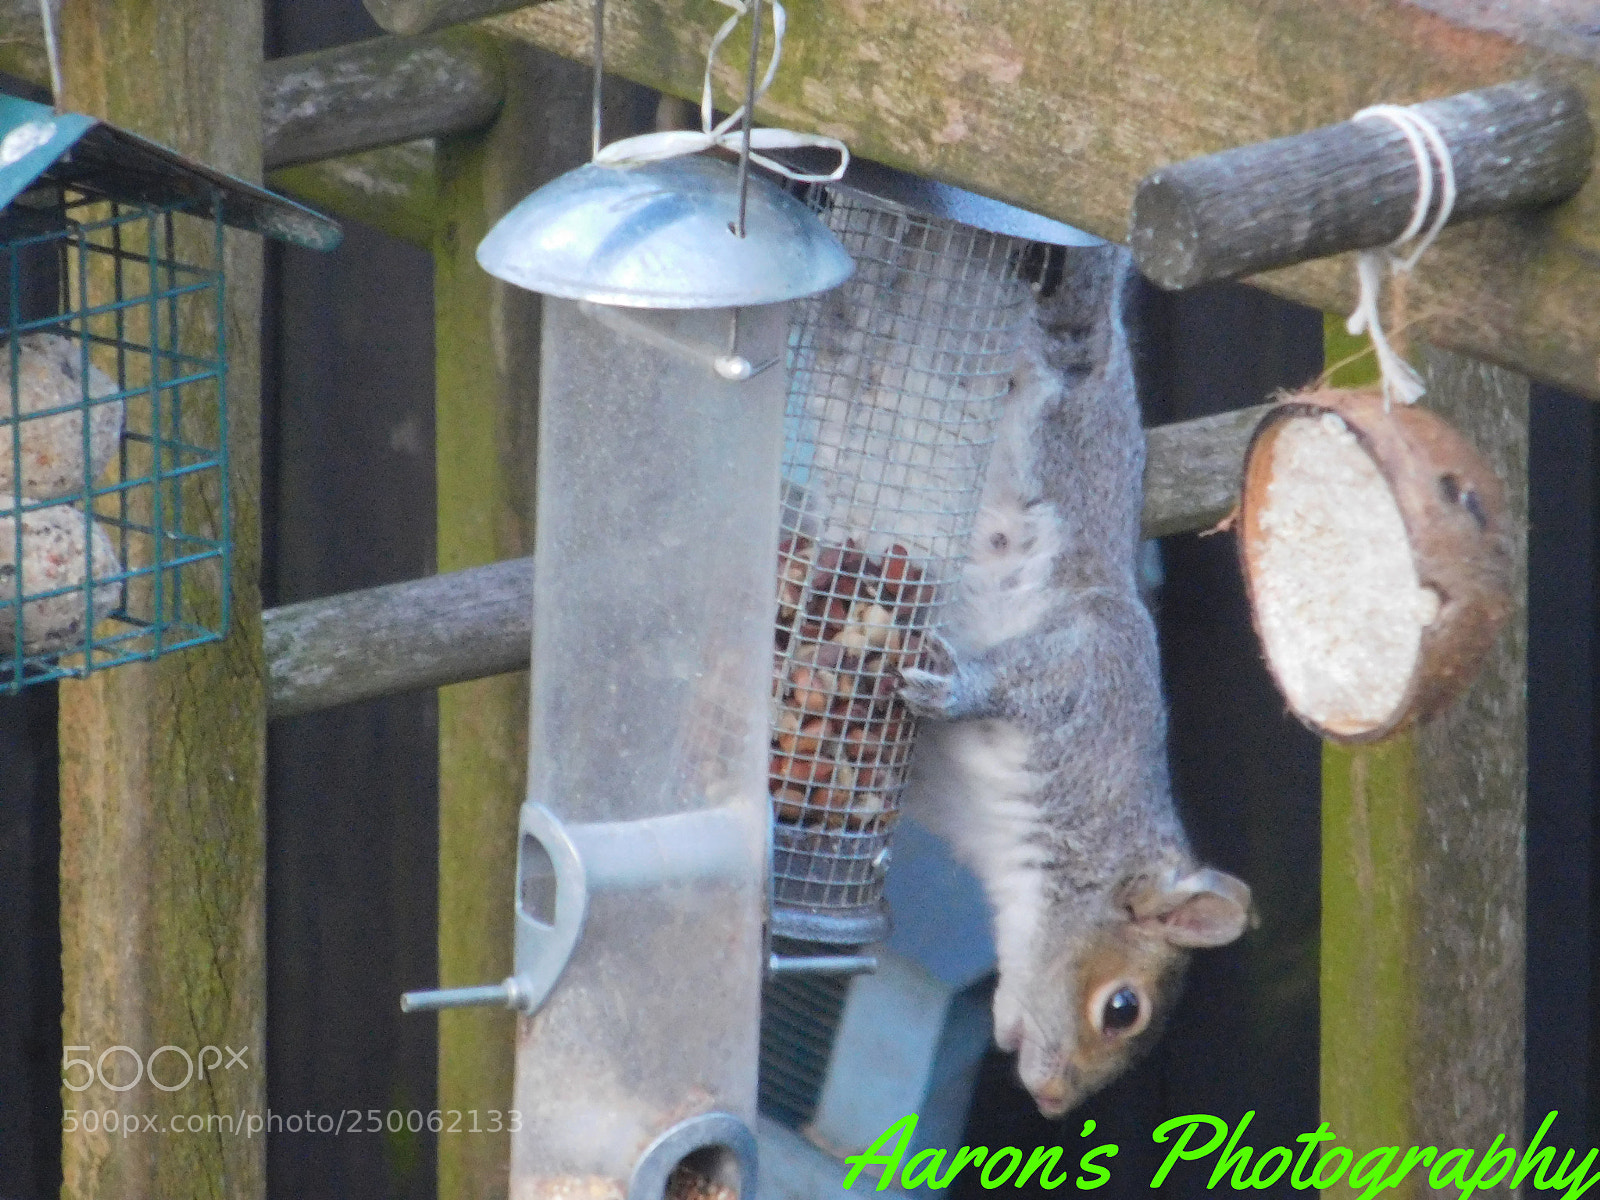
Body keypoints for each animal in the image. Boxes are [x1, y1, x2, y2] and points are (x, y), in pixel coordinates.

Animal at [897, 244, 1252, 1118]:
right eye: (1122, 1009)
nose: (1053, 1102)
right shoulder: (1095, 665)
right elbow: (1021, 679)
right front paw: (955, 687)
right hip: (1072, 353)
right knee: (1075, 309)